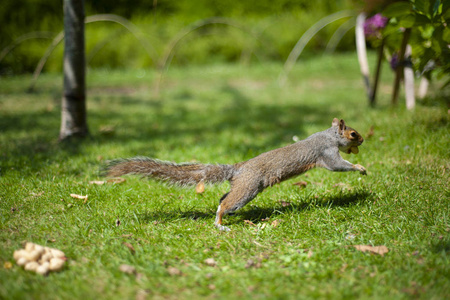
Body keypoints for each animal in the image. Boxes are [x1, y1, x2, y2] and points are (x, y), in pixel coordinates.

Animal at [107, 118, 368, 231]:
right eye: (353, 134)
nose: (363, 140)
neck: (329, 135)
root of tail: (238, 169)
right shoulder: (327, 153)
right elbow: (338, 166)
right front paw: (360, 168)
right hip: (248, 188)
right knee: (226, 204)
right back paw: (220, 224)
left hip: (243, 187)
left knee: (223, 199)